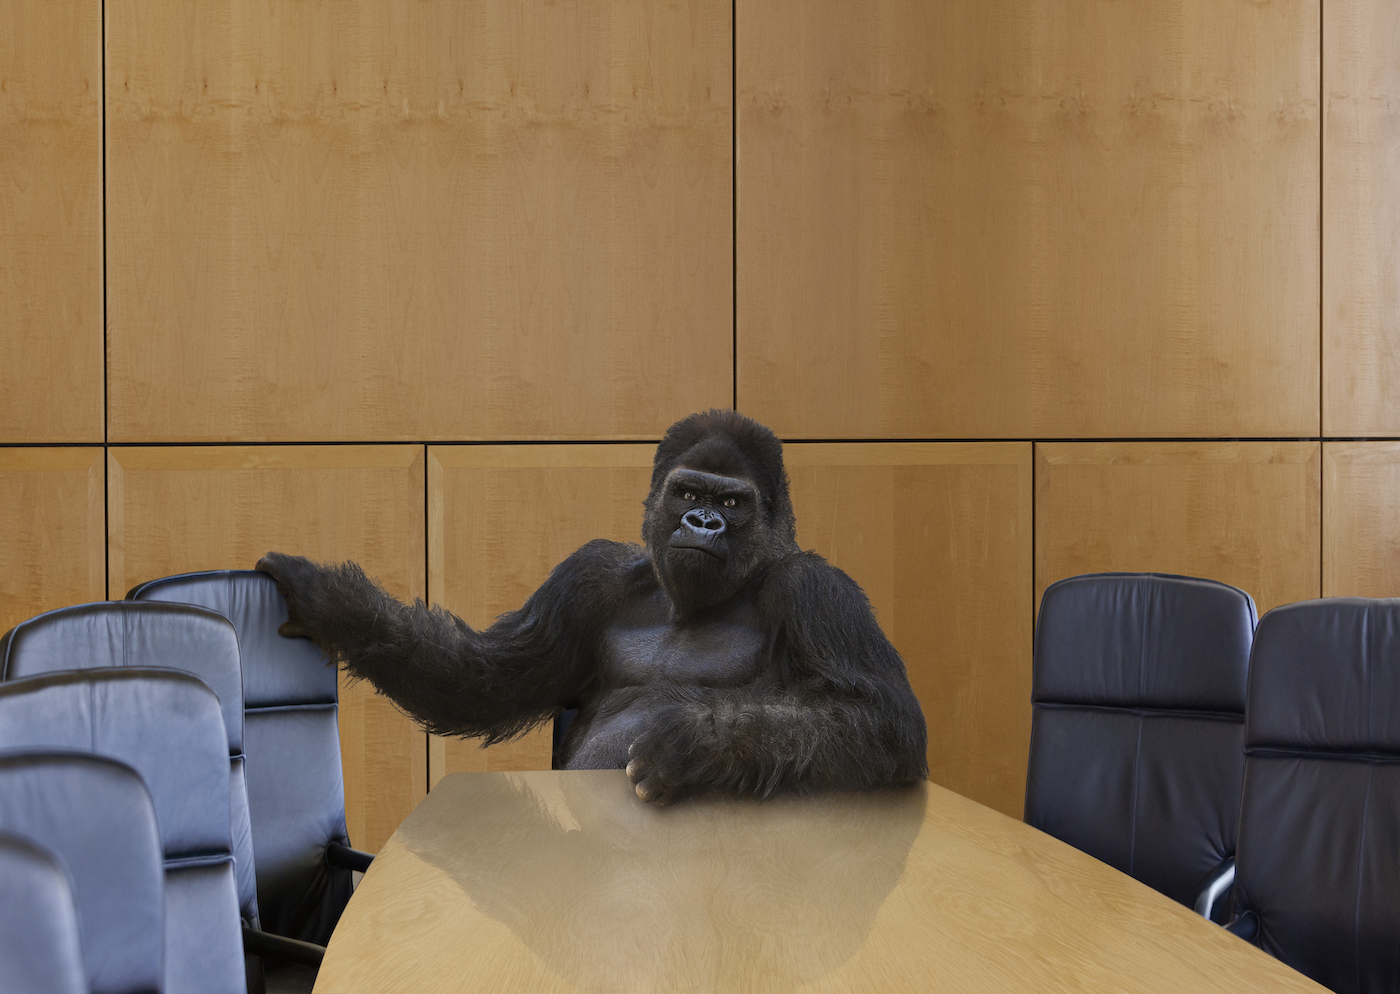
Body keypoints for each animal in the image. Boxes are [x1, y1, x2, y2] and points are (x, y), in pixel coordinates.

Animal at [260, 408, 929, 806]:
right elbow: (485, 678)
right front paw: (332, 604)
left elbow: (881, 720)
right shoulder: (588, 578)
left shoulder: (817, 592)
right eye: (688, 491)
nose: (703, 522)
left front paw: (693, 744)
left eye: (732, 503)